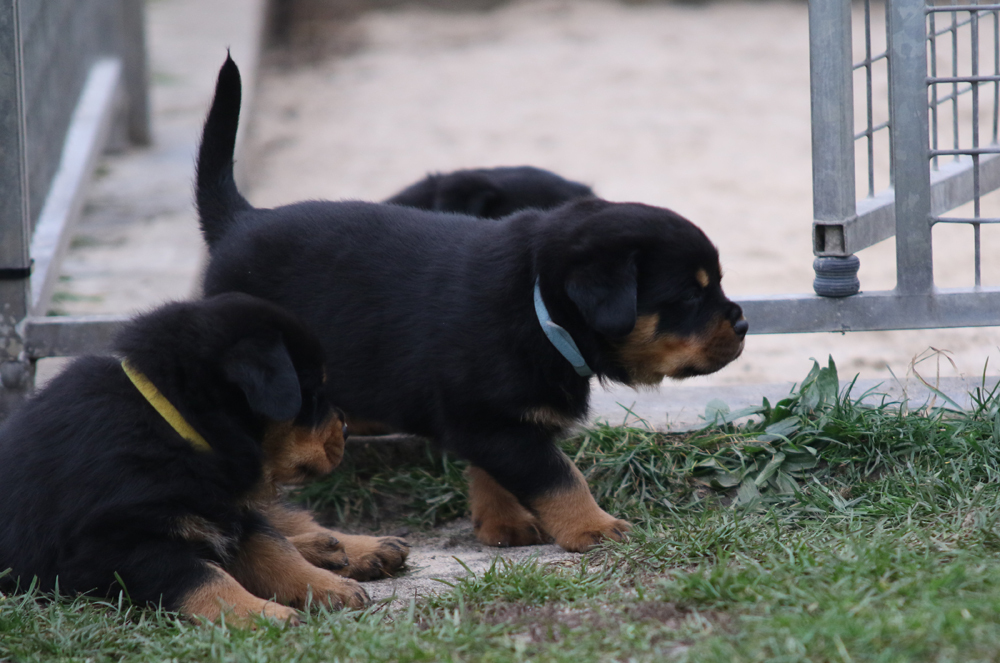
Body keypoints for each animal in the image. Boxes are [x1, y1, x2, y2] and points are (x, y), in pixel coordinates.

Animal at [0, 293, 406, 625]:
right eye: (312, 394)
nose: (347, 429)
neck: (176, 423)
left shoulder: (227, 506)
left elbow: (275, 549)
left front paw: (328, 586)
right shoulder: (113, 547)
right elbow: (206, 576)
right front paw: (266, 615)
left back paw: (359, 549)